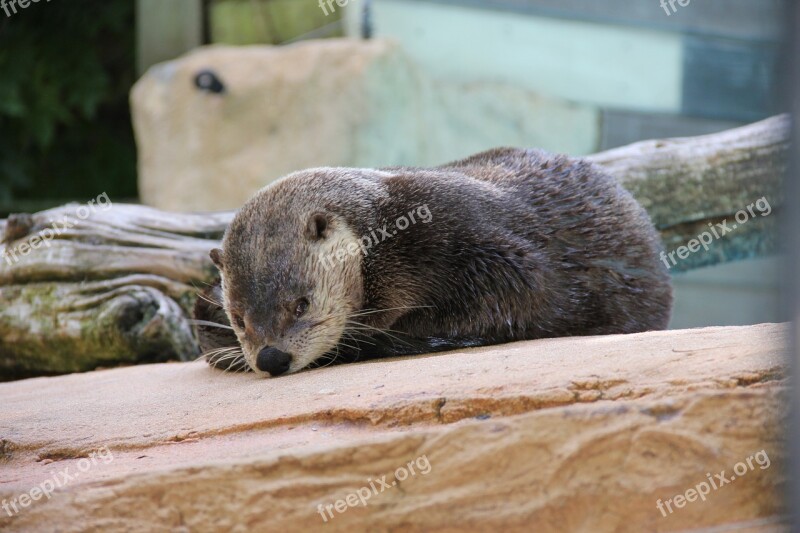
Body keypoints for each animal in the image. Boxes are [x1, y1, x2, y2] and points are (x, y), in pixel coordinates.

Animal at [197, 148, 672, 376]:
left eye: (302, 304)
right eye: (238, 319)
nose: (271, 358)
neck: (389, 235)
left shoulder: (475, 243)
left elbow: (524, 293)